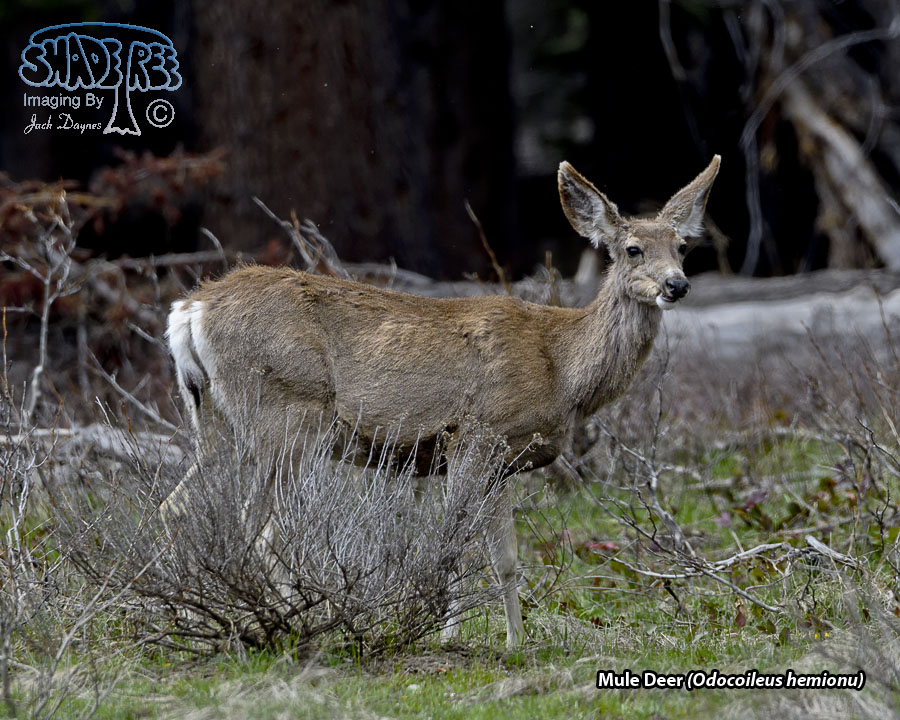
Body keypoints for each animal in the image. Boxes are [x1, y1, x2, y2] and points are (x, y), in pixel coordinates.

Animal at [164, 155, 720, 647]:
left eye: (683, 246)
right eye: (632, 249)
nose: (677, 284)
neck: (562, 368)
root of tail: (190, 309)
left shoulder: (505, 460)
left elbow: (504, 558)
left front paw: (516, 642)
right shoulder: (476, 433)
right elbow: (453, 541)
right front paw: (445, 633)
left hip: (215, 419)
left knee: (179, 506)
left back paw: (186, 615)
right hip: (285, 413)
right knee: (260, 529)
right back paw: (287, 619)